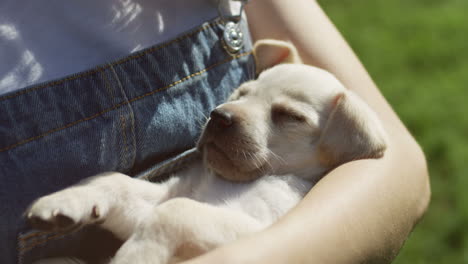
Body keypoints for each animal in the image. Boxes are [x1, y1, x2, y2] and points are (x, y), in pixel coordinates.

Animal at [24, 39, 388, 264]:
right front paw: (67, 200)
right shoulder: (161, 199)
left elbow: (175, 212)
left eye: (289, 116)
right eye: (241, 93)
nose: (219, 116)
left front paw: (133, 257)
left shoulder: (256, 226)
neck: (229, 180)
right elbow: (115, 182)